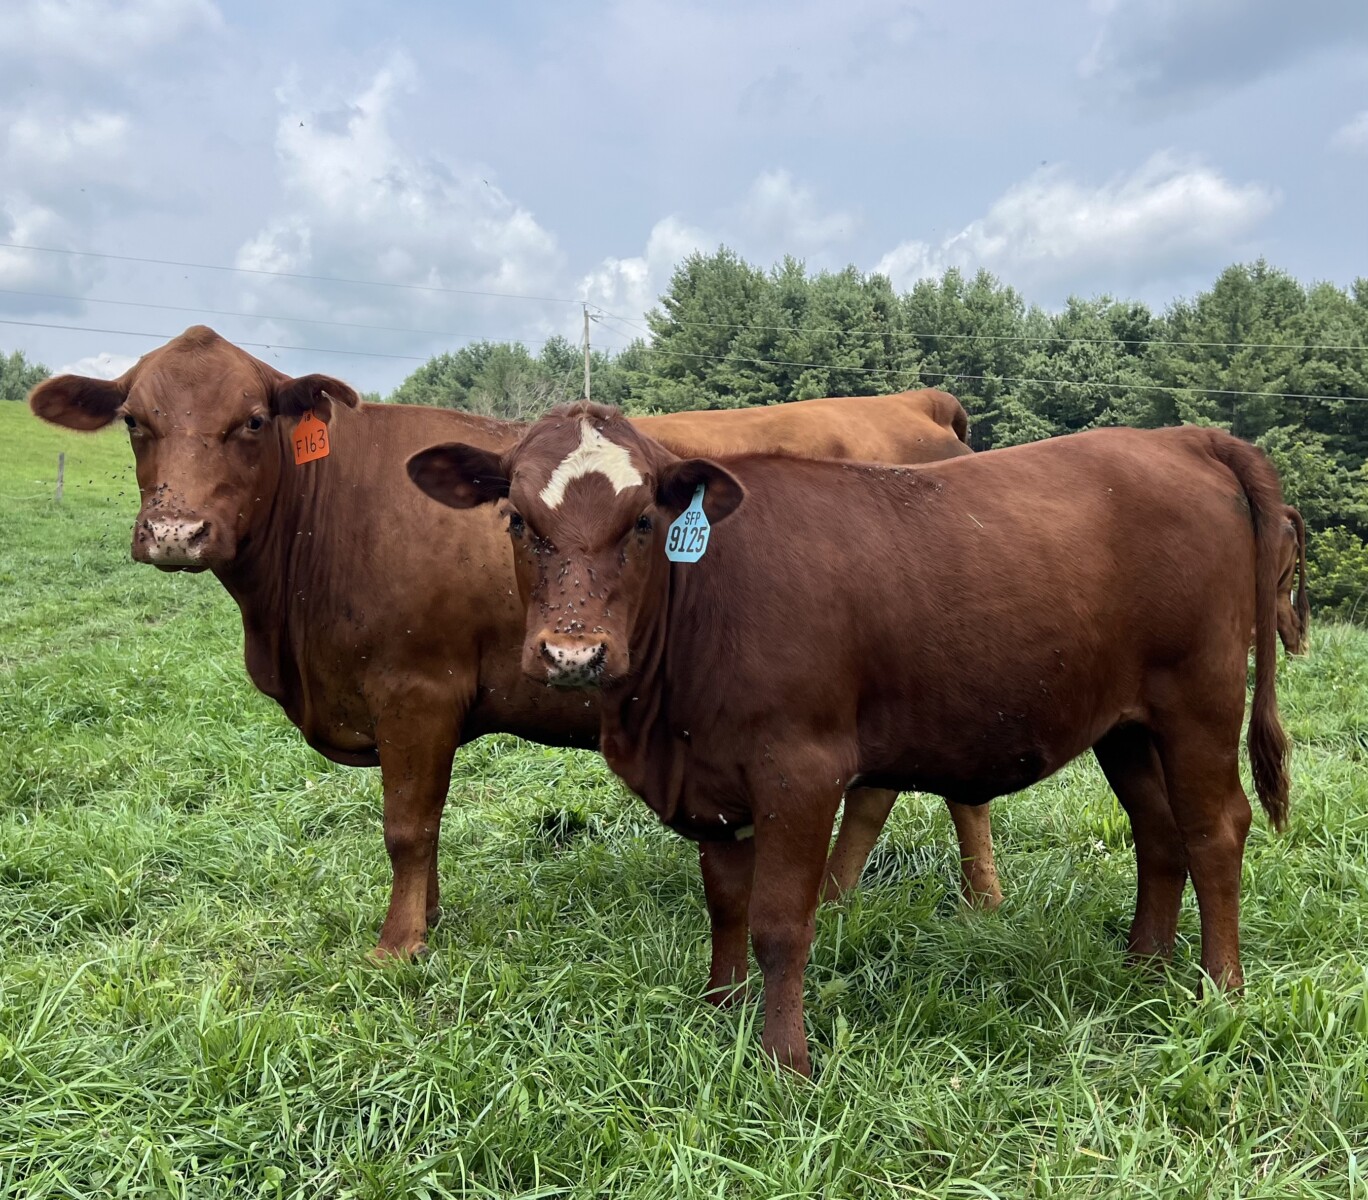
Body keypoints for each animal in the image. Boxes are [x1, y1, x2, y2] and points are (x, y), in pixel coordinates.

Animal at [27, 326, 997, 960]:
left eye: (253, 421)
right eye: (135, 420)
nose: (176, 532)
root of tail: (917, 404)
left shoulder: (416, 688)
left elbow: (407, 825)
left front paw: (398, 947)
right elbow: (425, 828)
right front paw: (429, 922)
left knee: (932, 794)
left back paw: (947, 898)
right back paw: (864, 896)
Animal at [408, 402, 1291, 1075]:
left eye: (645, 520)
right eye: (517, 519)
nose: (574, 652)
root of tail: (1179, 436)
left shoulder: (799, 769)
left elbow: (778, 922)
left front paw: (783, 1062)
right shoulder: (709, 777)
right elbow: (725, 904)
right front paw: (720, 1012)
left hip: (1200, 697)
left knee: (1215, 830)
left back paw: (1220, 991)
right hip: (1127, 724)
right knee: (1159, 833)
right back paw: (1144, 968)